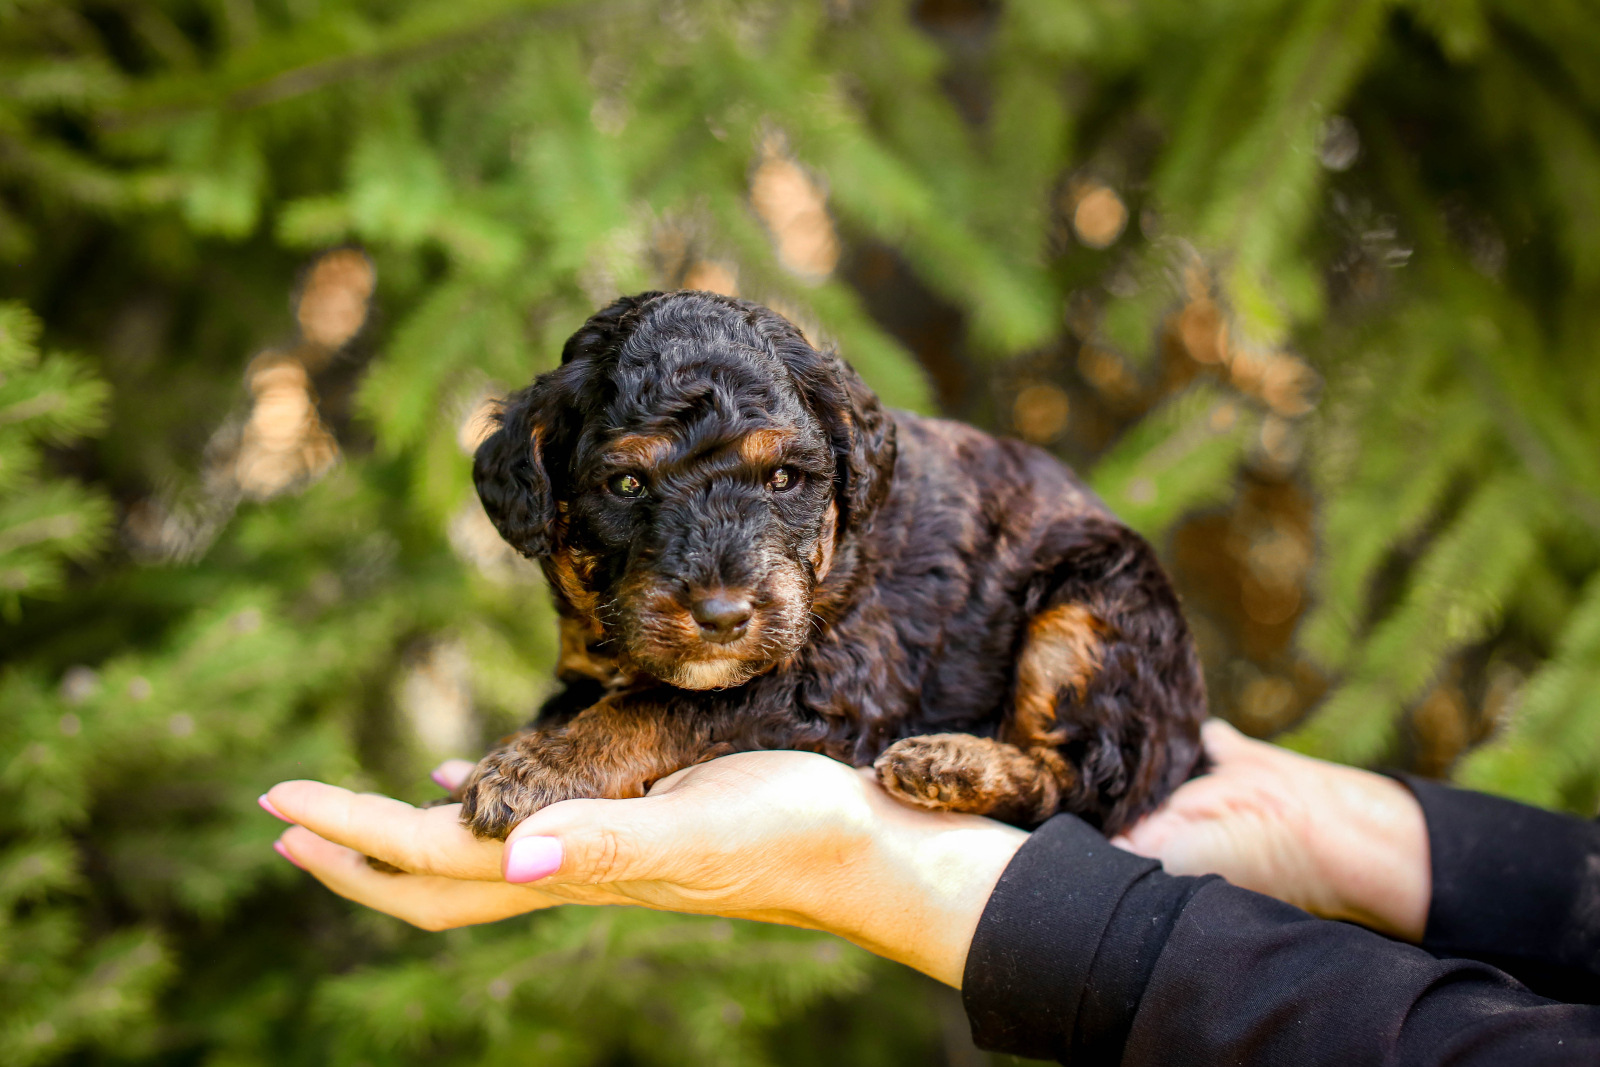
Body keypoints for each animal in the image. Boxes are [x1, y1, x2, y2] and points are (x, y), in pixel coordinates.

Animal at [460, 292, 1203, 844]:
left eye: (785, 478)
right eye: (625, 485)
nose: (723, 616)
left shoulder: (834, 681)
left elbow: (662, 704)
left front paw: (540, 767)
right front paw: (532, 742)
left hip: (1096, 608)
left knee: (1086, 781)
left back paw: (950, 762)